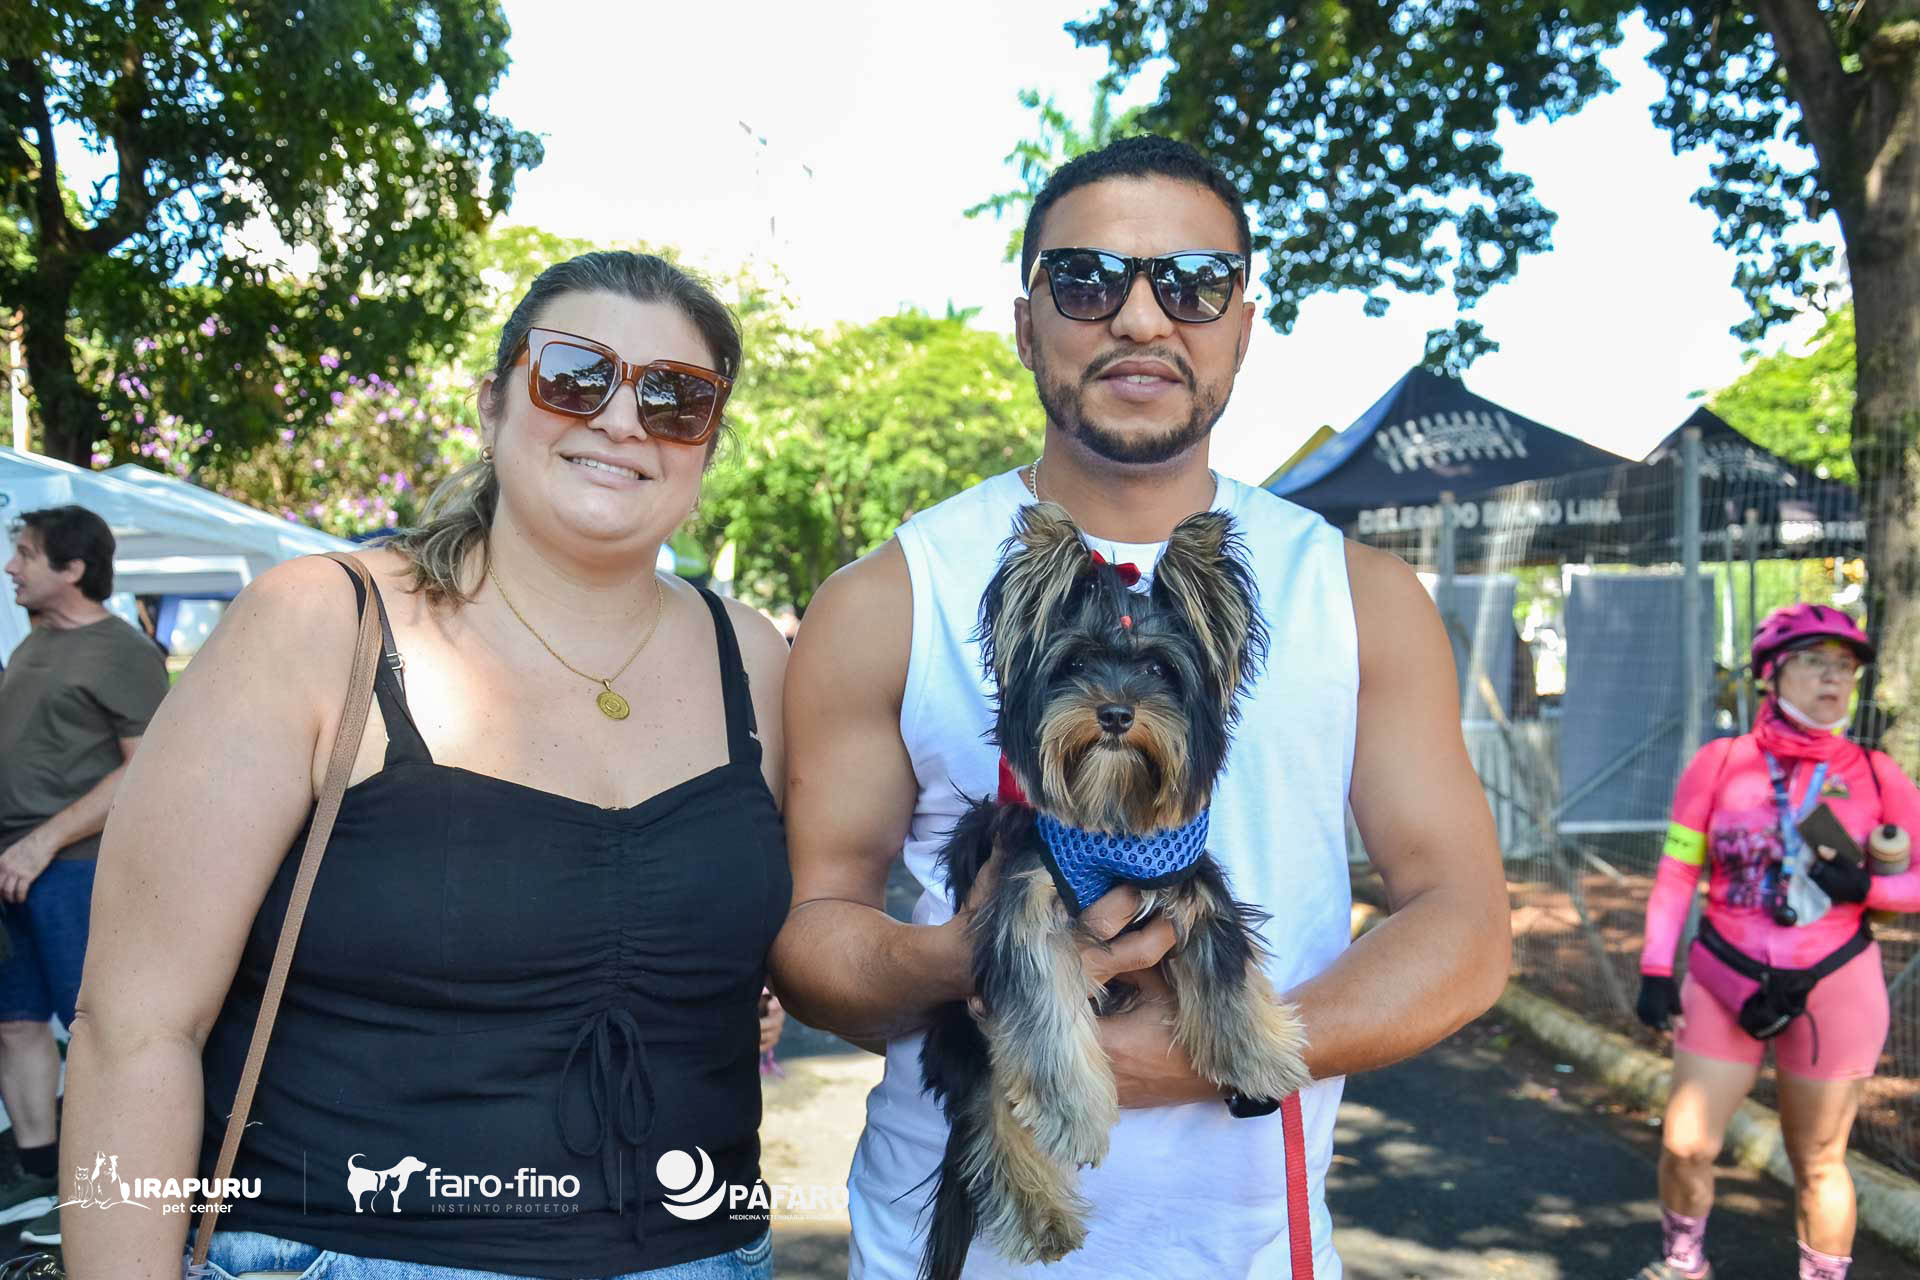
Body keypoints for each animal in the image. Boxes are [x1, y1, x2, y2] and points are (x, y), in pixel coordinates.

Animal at [916, 502, 1311, 1280]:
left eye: (1159, 668)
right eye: (1072, 665)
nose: (1117, 714)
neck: (1113, 825)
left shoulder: (1185, 874)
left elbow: (1223, 955)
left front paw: (1257, 1051)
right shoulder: (1023, 904)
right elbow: (1044, 1012)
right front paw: (1073, 1113)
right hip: (965, 1032)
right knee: (993, 1113)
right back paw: (1042, 1215)